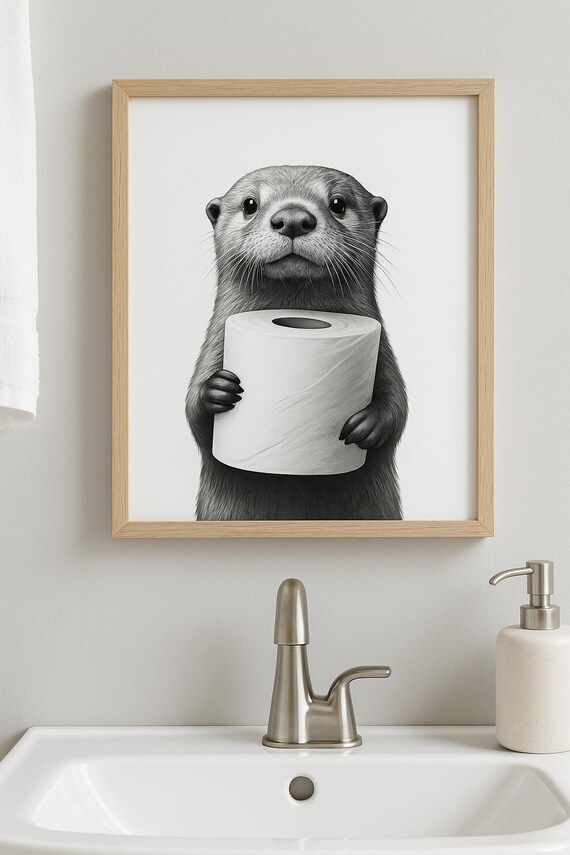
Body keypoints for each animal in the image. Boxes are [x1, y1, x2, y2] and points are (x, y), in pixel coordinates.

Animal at [185, 165, 407, 521]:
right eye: (249, 203)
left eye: (338, 202)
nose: (292, 218)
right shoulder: (213, 346)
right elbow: (193, 412)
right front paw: (217, 389)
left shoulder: (384, 352)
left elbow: (398, 404)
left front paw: (368, 424)